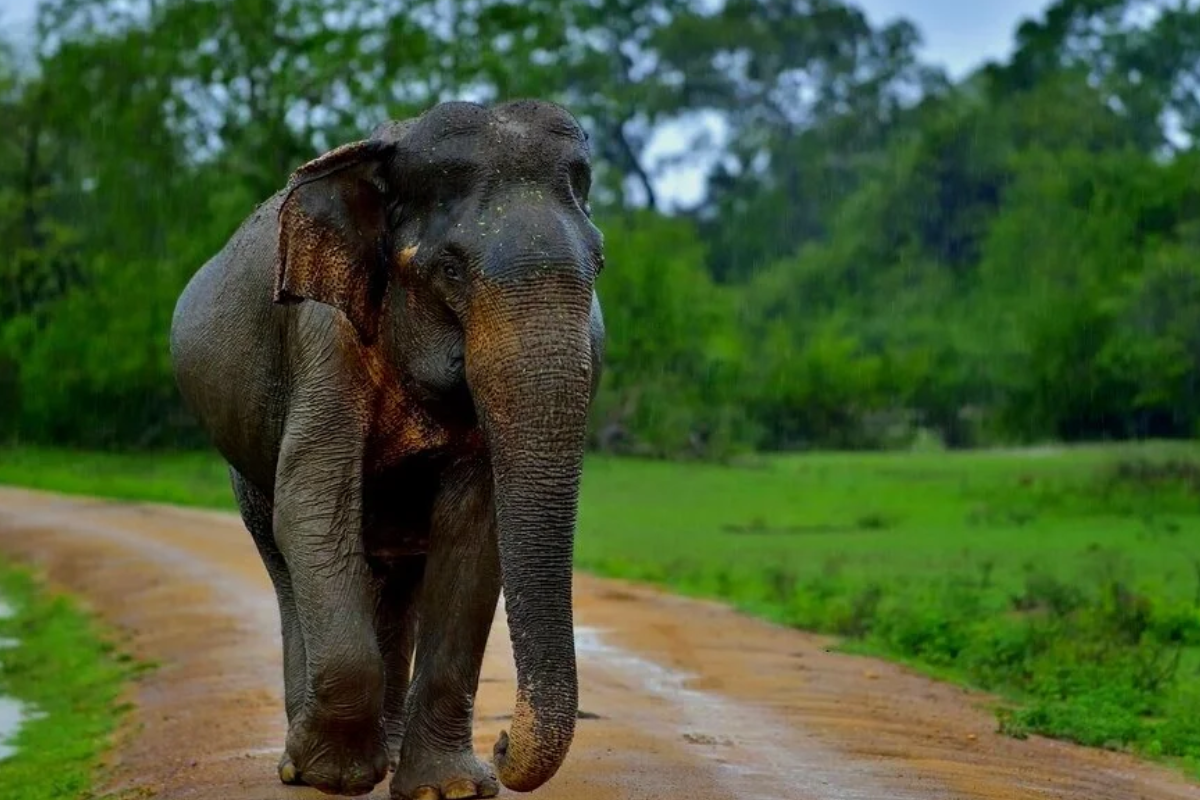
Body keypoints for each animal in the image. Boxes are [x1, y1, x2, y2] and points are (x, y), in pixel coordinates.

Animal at [168, 99, 606, 799]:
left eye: (600, 265)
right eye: (450, 268)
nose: (502, 744)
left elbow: (473, 532)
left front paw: (449, 787)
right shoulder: (323, 333)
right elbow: (312, 505)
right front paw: (335, 775)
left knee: (398, 581)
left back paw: (390, 752)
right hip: (244, 465)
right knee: (284, 553)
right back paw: (299, 762)